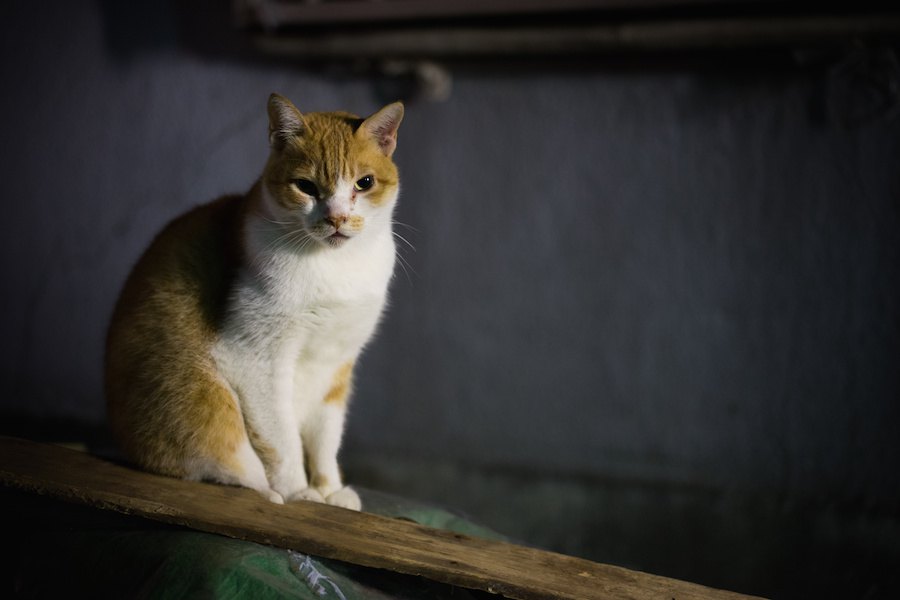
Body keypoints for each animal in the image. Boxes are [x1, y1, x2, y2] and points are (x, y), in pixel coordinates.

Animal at [103, 91, 404, 508]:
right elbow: (283, 441)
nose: (337, 218)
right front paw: (300, 491)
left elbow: (326, 437)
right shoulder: (255, 360)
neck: (334, 266)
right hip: (207, 400)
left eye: (365, 182)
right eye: (306, 186)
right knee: (226, 462)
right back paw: (269, 493)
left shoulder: (336, 365)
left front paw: (329, 489)